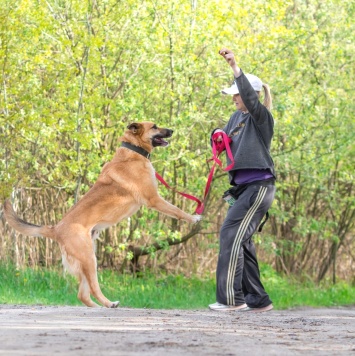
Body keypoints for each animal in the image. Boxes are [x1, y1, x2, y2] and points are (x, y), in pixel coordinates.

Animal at [2, 122, 202, 306]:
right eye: (154, 126)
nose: (172, 131)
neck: (133, 151)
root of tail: (55, 229)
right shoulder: (154, 199)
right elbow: (177, 210)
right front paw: (194, 218)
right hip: (89, 259)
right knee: (93, 288)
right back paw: (109, 303)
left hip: (87, 259)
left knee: (82, 294)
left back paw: (98, 307)